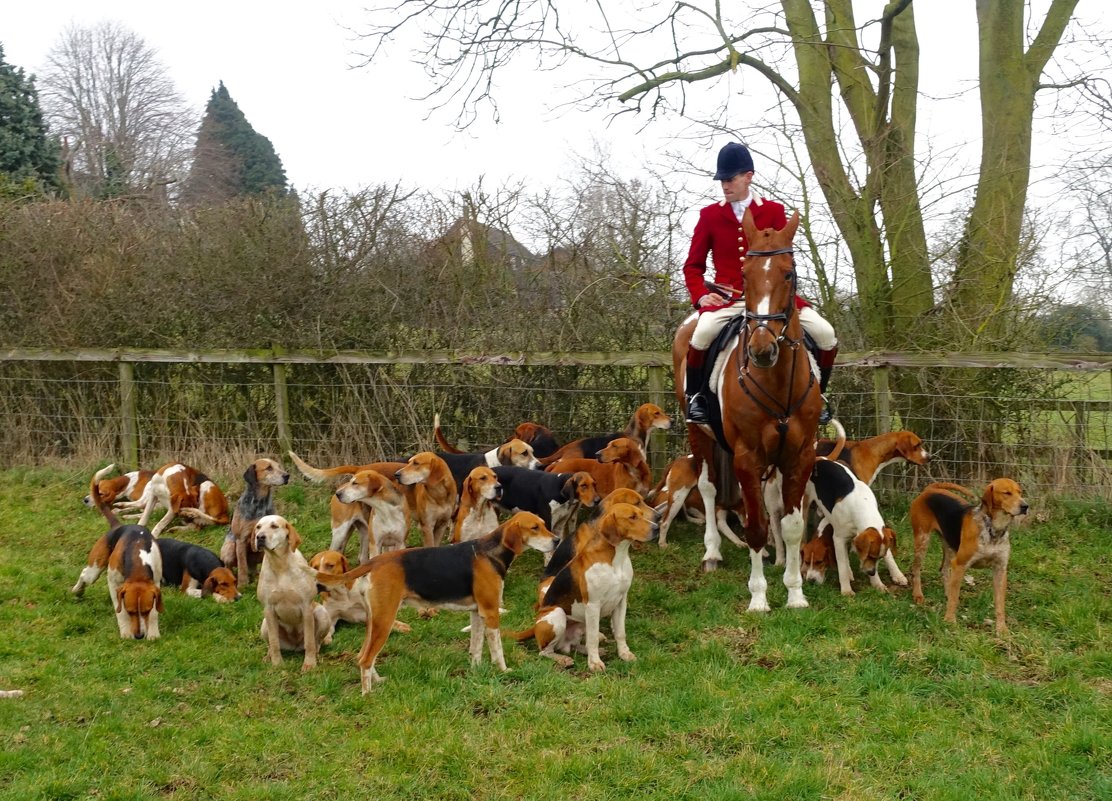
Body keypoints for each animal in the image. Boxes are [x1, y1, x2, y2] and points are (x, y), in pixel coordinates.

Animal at [671, 209, 822, 609]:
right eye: (745, 275)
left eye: (789, 272)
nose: (761, 350)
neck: (776, 379)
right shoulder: (747, 457)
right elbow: (754, 526)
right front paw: (759, 598)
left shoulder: (800, 455)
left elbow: (792, 525)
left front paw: (795, 593)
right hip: (699, 433)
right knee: (708, 489)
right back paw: (712, 553)